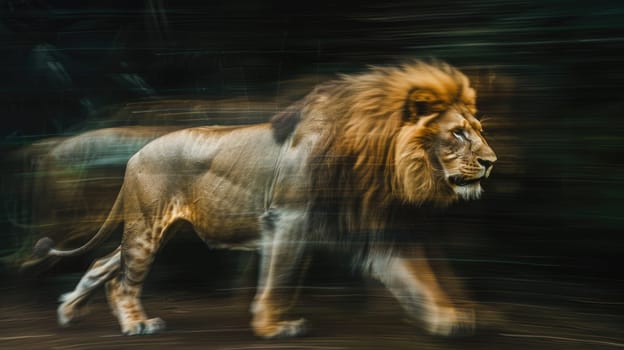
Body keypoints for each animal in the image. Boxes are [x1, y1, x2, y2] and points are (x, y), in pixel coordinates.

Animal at [34, 60, 498, 340]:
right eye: (457, 133)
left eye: (478, 129)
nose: (492, 162)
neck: (376, 157)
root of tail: (137, 153)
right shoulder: (288, 219)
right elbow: (277, 279)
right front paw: (273, 327)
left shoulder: (375, 231)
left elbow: (419, 278)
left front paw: (449, 318)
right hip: (147, 227)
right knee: (124, 279)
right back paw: (136, 324)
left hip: (162, 230)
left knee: (105, 266)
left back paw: (69, 311)